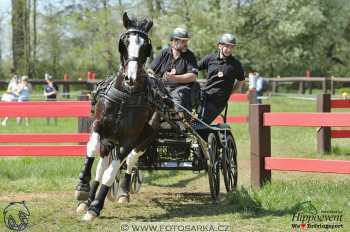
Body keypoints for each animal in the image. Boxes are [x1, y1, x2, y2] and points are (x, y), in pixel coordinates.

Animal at [75, 12, 163, 221]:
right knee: (100, 167)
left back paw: (122, 192)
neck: (125, 96)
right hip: (108, 141)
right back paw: (87, 200)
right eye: (125, 42)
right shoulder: (99, 126)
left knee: (129, 162)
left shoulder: (129, 140)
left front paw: (95, 208)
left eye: (145, 46)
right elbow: (92, 149)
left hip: (143, 141)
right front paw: (82, 188)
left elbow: (112, 172)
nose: (130, 78)